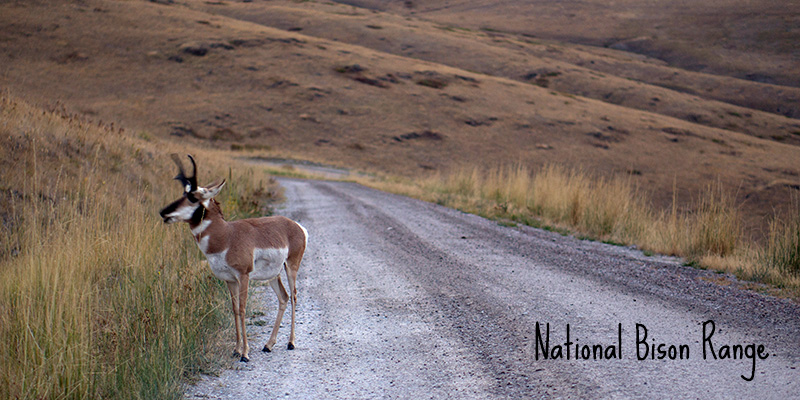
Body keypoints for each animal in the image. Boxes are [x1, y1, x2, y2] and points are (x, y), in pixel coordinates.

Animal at [159, 155, 306, 360]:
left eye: (193, 196)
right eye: (183, 192)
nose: (163, 212)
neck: (227, 235)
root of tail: (296, 226)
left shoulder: (243, 276)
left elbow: (243, 309)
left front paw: (245, 353)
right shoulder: (229, 280)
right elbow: (235, 309)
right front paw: (236, 349)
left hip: (291, 267)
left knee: (293, 297)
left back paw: (290, 343)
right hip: (273, 275)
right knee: (283, 297)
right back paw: (268, 345)